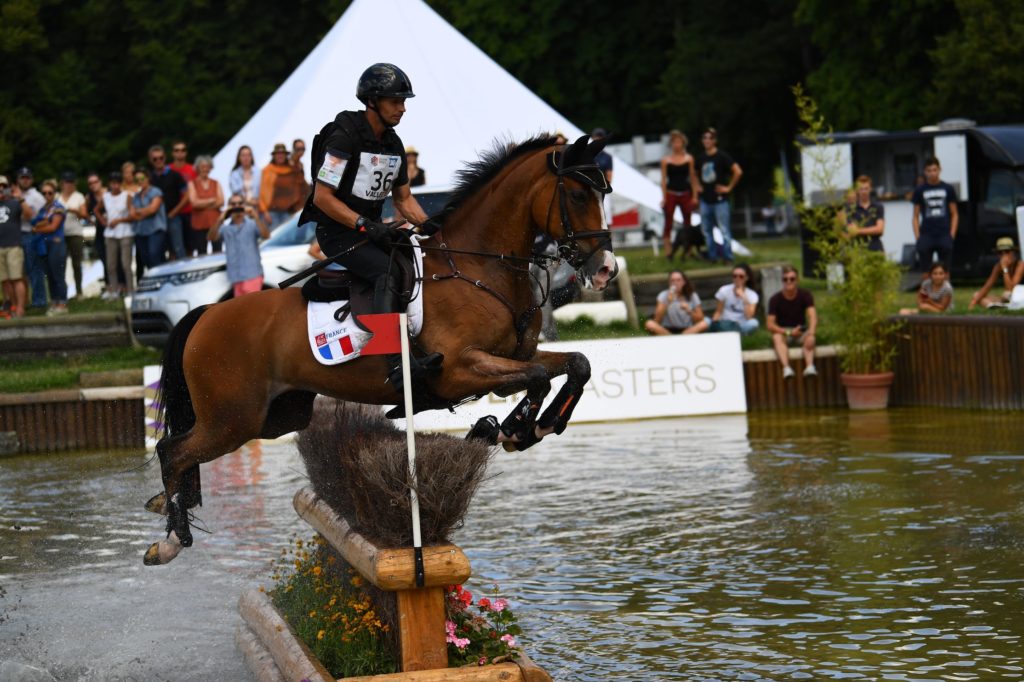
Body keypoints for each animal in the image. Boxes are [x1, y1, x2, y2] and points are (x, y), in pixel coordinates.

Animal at [145, 133, 618, 561]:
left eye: (604, 193)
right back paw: (169, 540)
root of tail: (207, 313)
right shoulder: (459, 371)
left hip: (271, 417)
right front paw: (510, 429)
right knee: (172, 451)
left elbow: (576, 365)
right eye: (578, 194)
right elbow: (537, 378)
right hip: (232, 419)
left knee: (183, 453)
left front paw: (532, 427)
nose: (606, 270)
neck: (479, 268)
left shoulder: (513, 358)